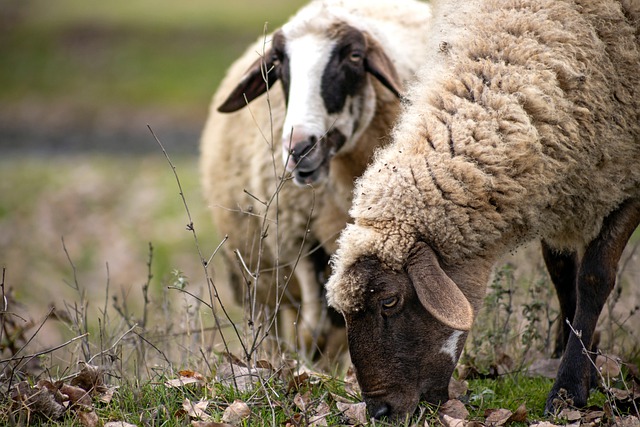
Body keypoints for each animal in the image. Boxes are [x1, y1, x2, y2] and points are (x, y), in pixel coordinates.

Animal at [198, 0, 432, 362]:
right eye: (277, 63)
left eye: (354, 57)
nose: (299, 148)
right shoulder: (298, 239)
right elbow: (314, 330)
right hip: (256, 276)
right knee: (270, 324)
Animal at [324, 0, 640, 422]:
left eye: (389, 301)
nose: (379, 411)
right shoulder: (559, 181)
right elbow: (561, 273)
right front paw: (576, 358)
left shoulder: (628, 175)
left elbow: (593, 277)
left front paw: (569, 387)